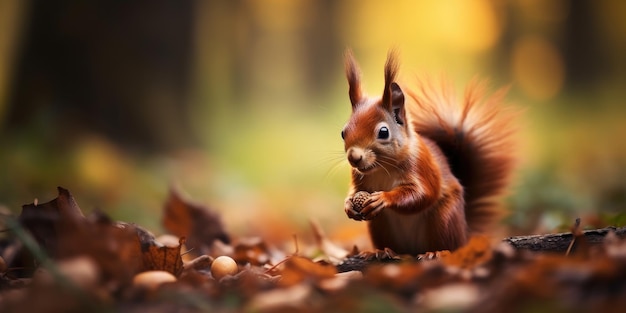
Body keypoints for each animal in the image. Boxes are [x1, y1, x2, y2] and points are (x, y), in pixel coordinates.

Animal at [338, 48, 516, 254]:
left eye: (383, 132)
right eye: (343, 132)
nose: (354, 157)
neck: (382, 167)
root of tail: (465, 235)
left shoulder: (421, 166)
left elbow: (423, 193)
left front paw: (383, 197)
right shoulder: (359, 178)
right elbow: (355, 190)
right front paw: (348, 205)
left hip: (444, 219)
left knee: (448, 244)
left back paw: (435, 253)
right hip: (380, 225)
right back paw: (382, 251)